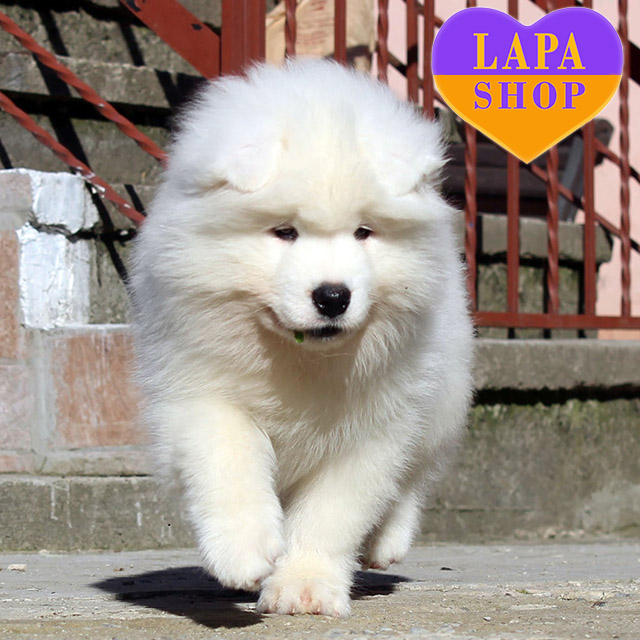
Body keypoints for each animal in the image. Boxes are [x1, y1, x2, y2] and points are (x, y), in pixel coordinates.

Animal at [130, 59, 473, 617]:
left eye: (364, 232)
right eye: (284, 231)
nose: (333, 296)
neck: (300, 358)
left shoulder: (374, 425)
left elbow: (333, 511)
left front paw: (305, 586)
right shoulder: (196, 389)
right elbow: (229, 455)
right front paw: (243, 551)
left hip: (441, 398)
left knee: (413, 477)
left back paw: (387, 541)